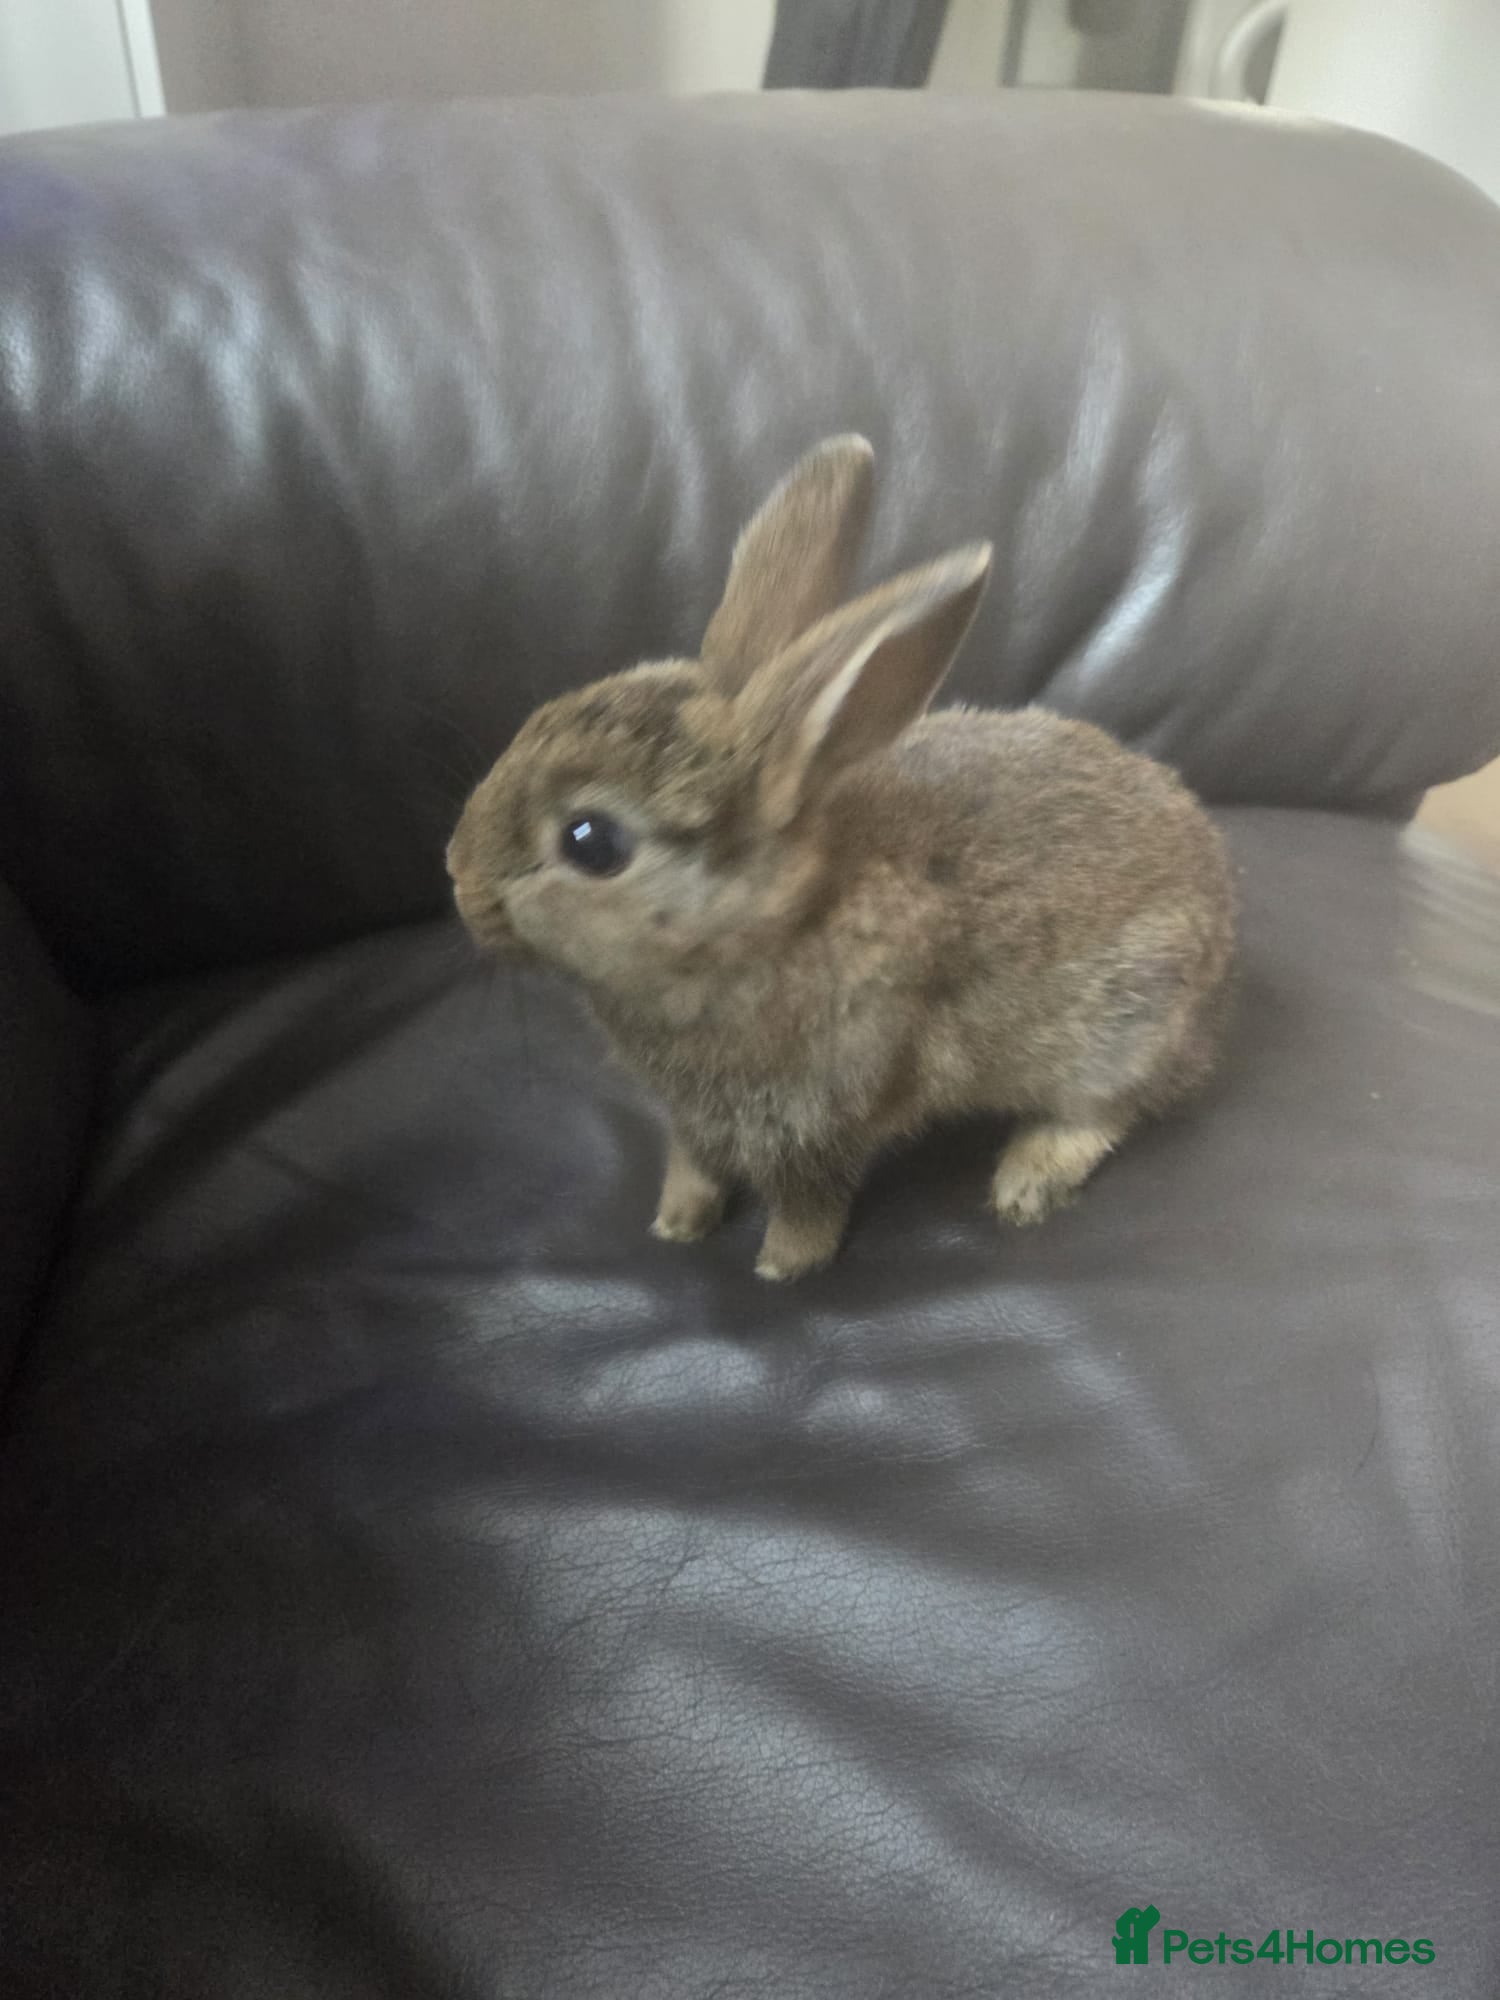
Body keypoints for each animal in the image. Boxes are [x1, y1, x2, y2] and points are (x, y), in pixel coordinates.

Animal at [448, 435, 1235, 1280]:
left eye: (590, 841)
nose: (457, 879)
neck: (763, 934)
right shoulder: (698, 1118)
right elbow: (692, 1164)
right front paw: (676, 1226)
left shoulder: (820, 1121)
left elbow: (808, 1201)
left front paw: (781, 1267)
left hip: (1123, 1031)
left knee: (1110, 1109)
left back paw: (1026, 1181)